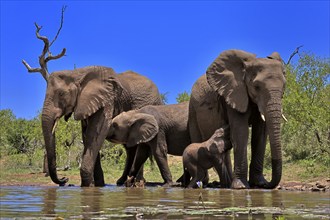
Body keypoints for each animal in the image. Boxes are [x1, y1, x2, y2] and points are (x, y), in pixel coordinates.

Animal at [189, 49, 288, 189]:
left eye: (284, 86)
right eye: (256, 87)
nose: (267, 185)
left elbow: (260, 135)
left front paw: (259, 183)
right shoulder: (234, 93)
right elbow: (241, 132)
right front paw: (241, 187)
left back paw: (226, 183)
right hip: (192, 110)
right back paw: (205, 183)